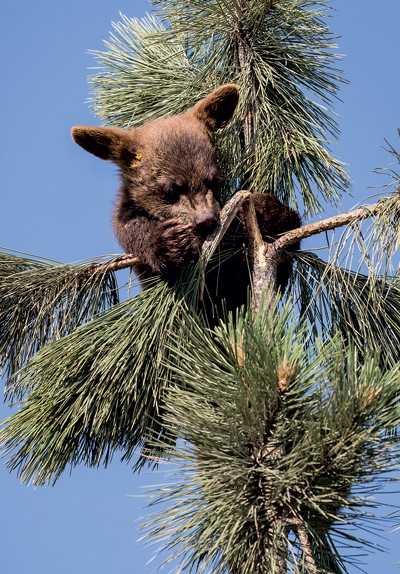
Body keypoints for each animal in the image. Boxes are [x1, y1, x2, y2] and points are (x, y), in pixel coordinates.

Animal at [71, 86, 300, 320]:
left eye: (213, 180)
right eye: (171, 190)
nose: (206, 220)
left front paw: (268, 210)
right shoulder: (128, 214)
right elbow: (130, 228)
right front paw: (169, 243)